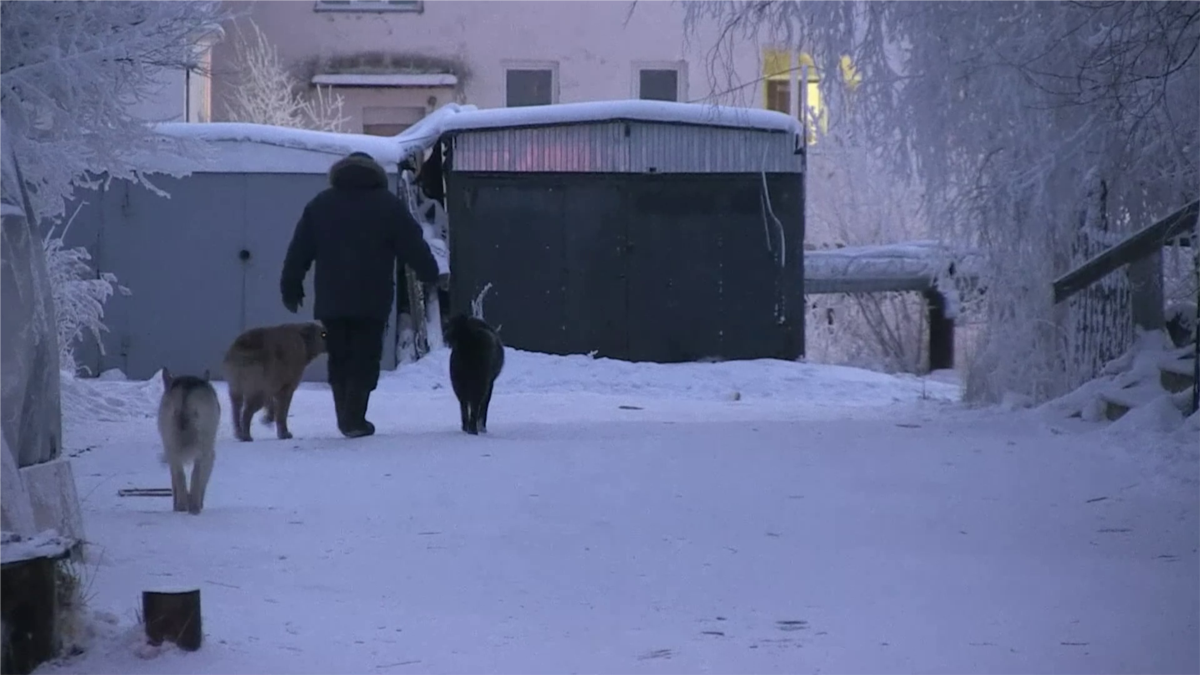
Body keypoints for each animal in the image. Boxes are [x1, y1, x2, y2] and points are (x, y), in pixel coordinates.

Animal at [157, 365, 220, 511]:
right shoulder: (210, 456)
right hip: (202, 449)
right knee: (194, 475)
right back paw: (194, 506)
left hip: (172, 447)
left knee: (181, 476)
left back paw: (183, 506)